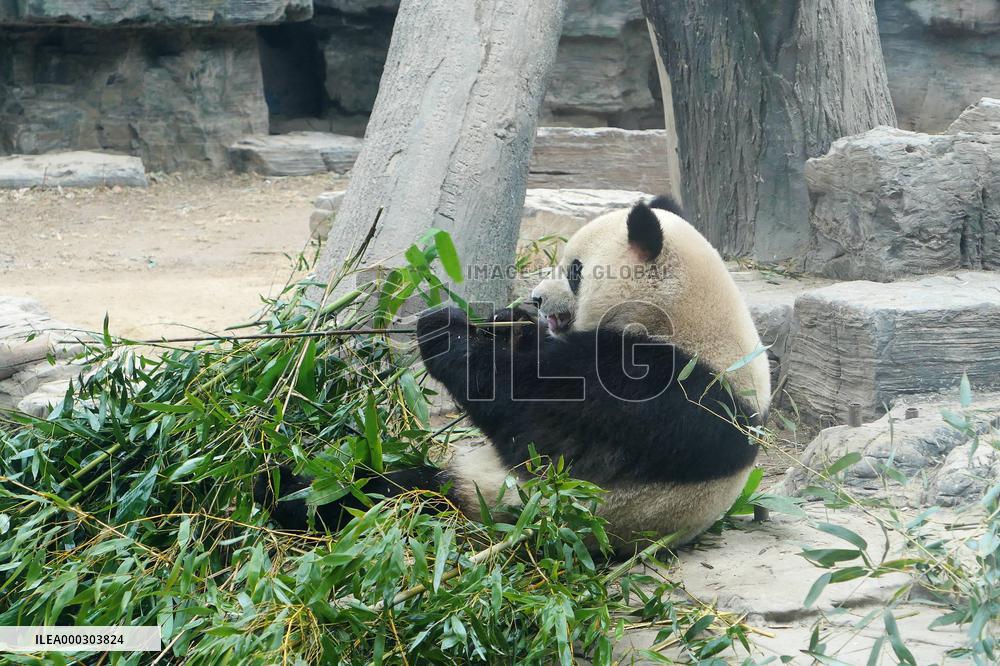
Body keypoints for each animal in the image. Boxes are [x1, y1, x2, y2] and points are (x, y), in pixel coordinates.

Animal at [255, 196, 771, 551]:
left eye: (575, 270)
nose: (537, 298)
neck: (687, 320)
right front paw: (508, 323)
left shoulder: (660, 391)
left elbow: (533, 417)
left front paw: (445, 329)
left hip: (495, 503)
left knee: (391, 494)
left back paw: (287, 492)